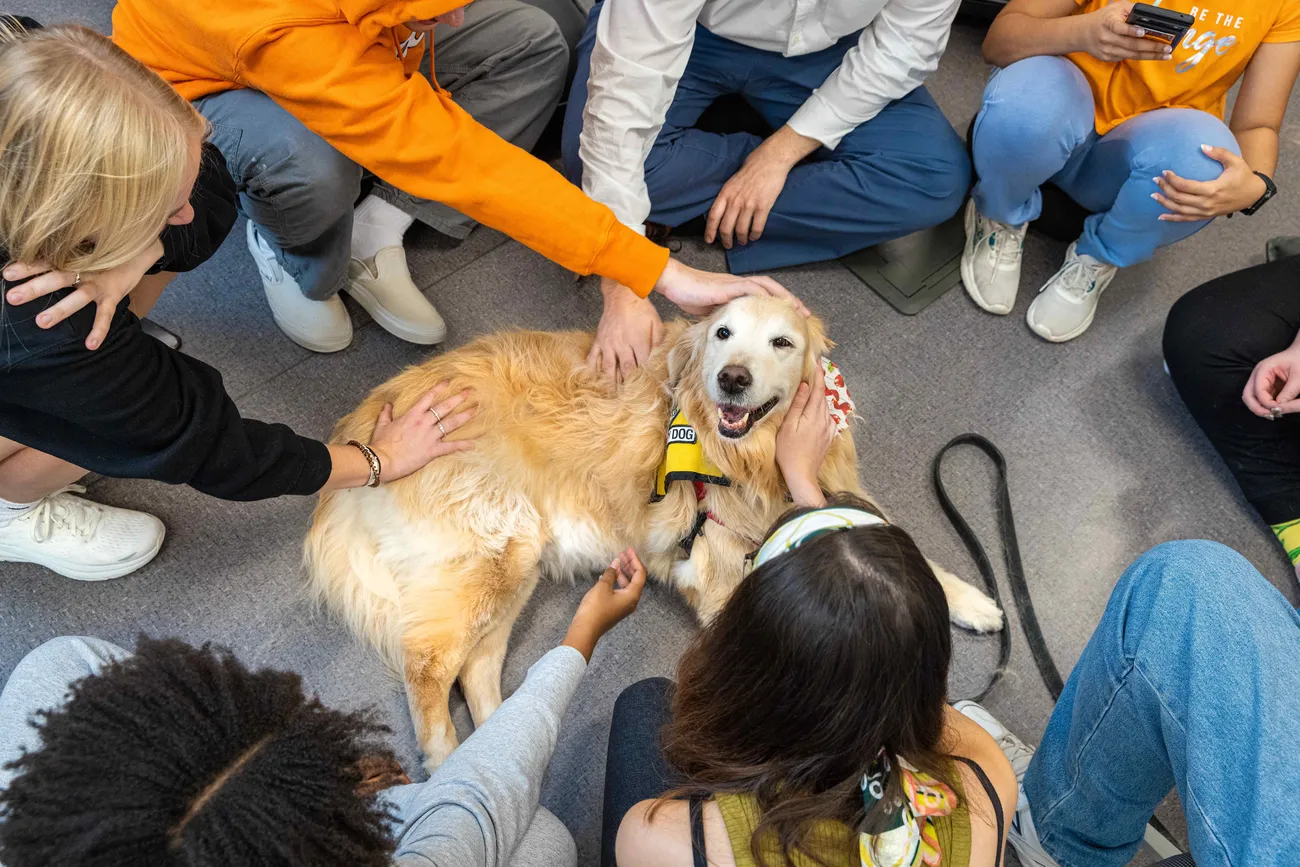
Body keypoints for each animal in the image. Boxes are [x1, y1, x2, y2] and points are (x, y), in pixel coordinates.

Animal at [306, 295, 1003, 769]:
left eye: (782, 342)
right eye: (723, 332)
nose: (732, 378)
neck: (750, 464)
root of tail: (367, 424)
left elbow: (895, 543)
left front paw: (973, 601)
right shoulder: (727, 582)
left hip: (517, 560)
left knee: (475, 669)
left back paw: (503, 743)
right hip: (492, 551)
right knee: (427, 668)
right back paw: (452, 763)